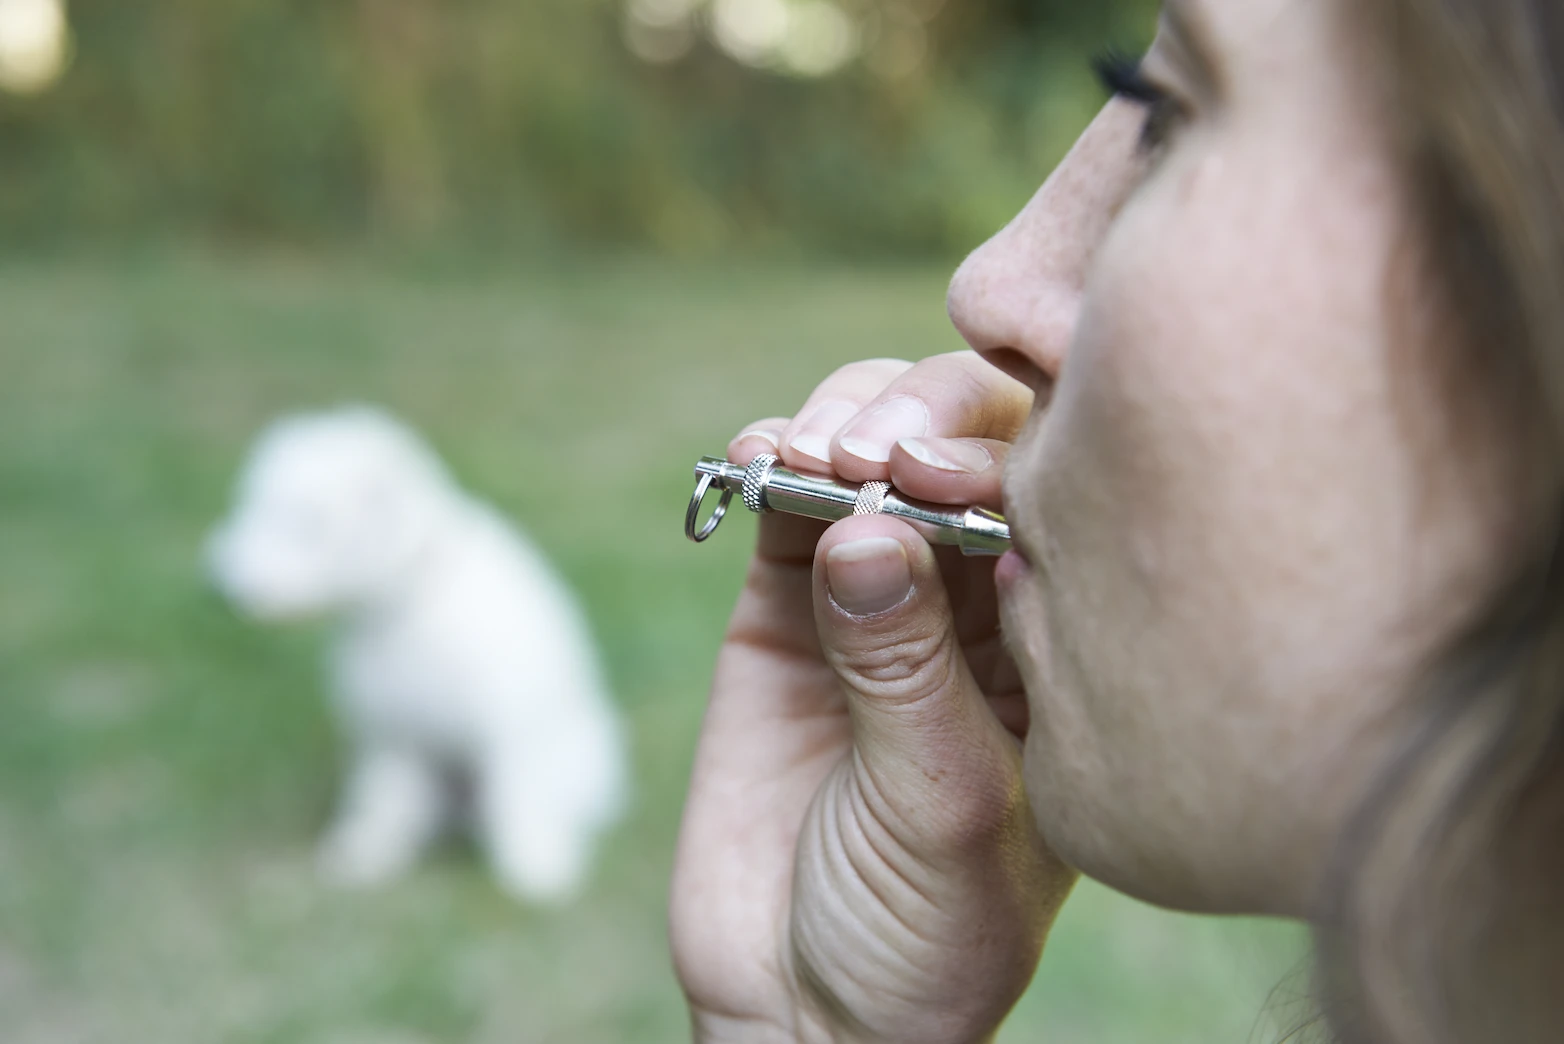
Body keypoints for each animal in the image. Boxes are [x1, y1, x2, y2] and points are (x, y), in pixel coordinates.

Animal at [204, 406, 625, 906]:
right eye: (254, 509)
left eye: (307, 523)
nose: (226, 587)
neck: (409, 603)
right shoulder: (392, 731)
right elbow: (383, 801)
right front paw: (366, 855)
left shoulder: (508, 723)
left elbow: (521, 796)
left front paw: (535, 867)